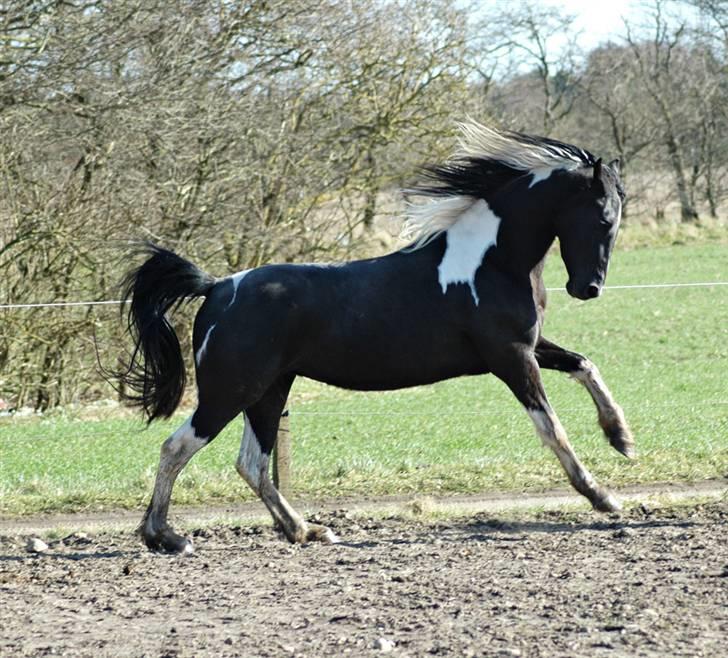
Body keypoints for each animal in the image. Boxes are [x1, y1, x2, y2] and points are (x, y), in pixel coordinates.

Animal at [118, 120, 632, 552]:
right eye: (604, 217)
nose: (587, 288)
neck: (492, 263)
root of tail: (218, 287)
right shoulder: (511, 357)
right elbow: (551, 427)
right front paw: (602, 496)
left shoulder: (528, 347)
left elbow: (584, 364)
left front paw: (621, 437)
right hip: (231, 390)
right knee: (178, 447)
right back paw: (165, 537)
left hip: (269, 389)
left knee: (252, 462)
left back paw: (305, 530)